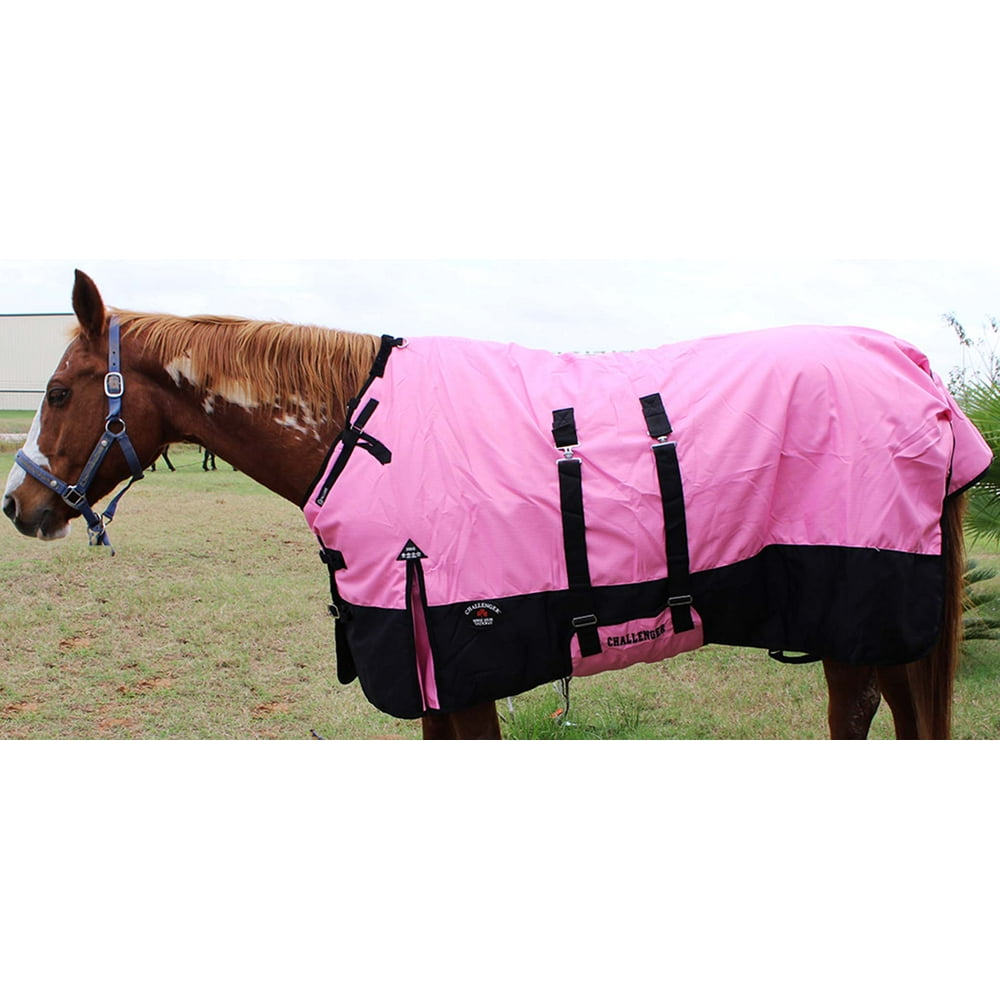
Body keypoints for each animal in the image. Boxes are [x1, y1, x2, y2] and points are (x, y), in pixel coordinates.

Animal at [2, 270, 988, 739]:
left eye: (56, 392)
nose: (20, 506)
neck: (359, 426)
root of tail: (917, 372)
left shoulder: (458, 668)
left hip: (857, 623)